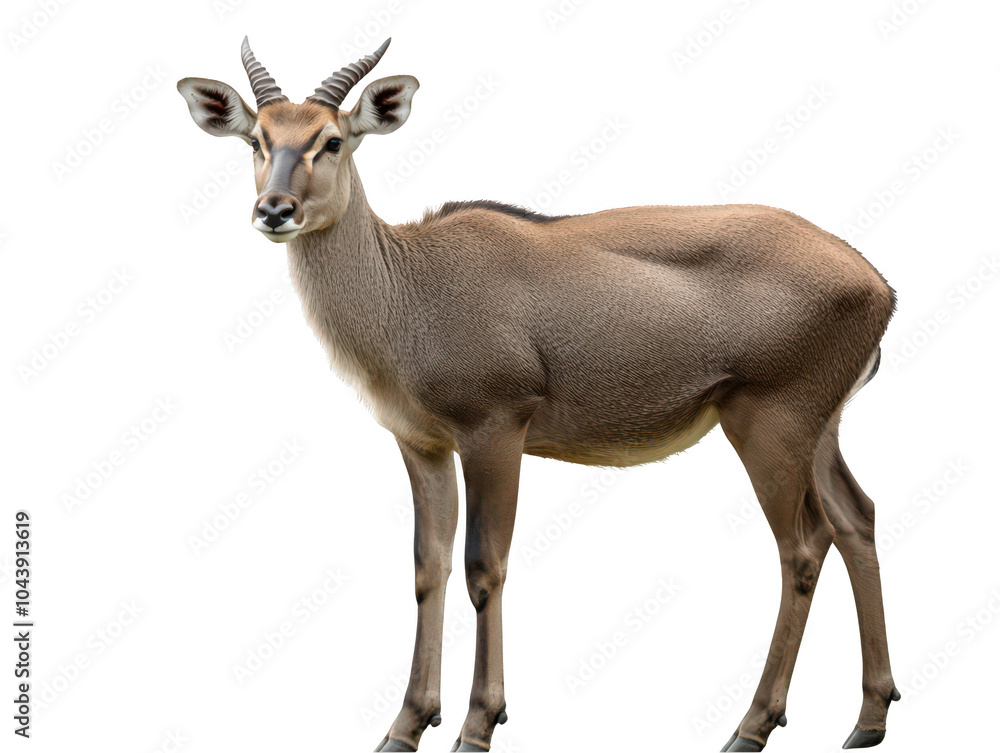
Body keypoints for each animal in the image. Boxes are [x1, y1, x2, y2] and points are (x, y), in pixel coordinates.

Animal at [178, 38, 901, 752]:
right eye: (258, 140)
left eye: (331, 140)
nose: (275, 210)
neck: (409, 289)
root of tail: (877, 283)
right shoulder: (422, 443)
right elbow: (427, 566)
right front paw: (405, 726)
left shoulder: (496, 430)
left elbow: (483, 564)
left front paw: (478, 724)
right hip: (818, 430)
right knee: (855, 517)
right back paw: (867, 719)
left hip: (769, 422)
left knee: (803, 546)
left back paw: (750, 727)